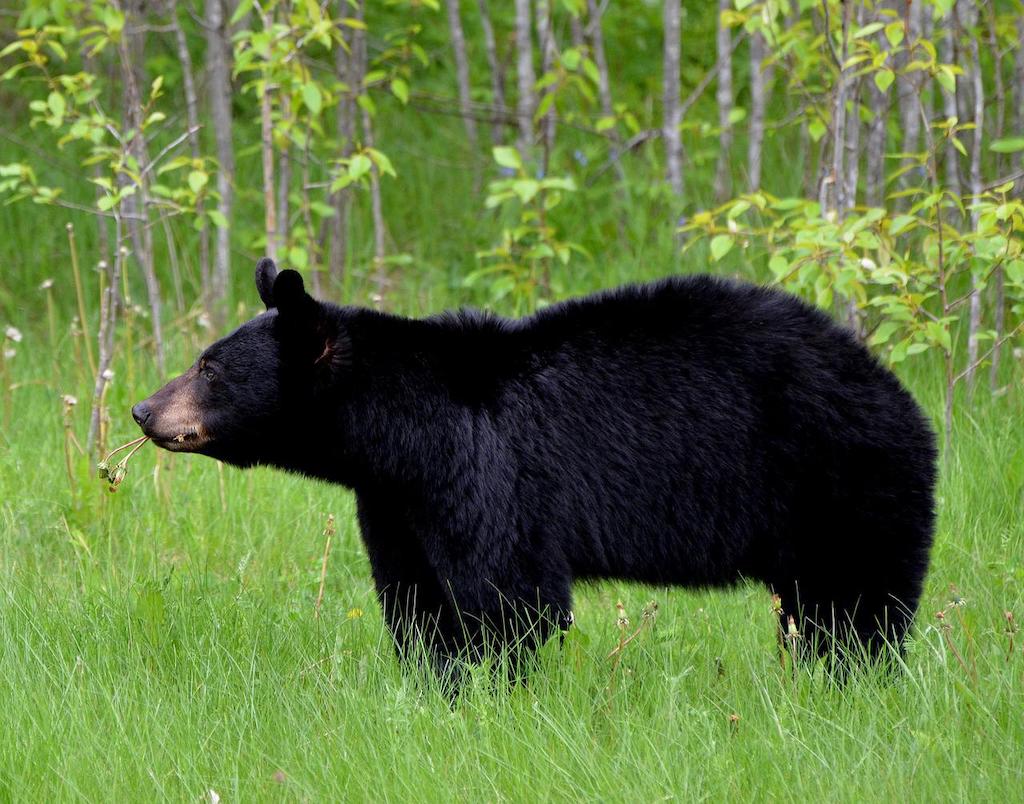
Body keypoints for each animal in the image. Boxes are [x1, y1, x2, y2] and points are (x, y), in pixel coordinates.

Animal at [133, 258, 937, 677]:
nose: (143, 410)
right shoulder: (394, 498)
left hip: (843, 480)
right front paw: (433, 682)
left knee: (854, 606)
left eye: (208, 367)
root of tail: (900, 395)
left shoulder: (487, 471)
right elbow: (415, 595)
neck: (398, 432)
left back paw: (847, 677)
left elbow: (507, 596)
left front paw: (490, 687)